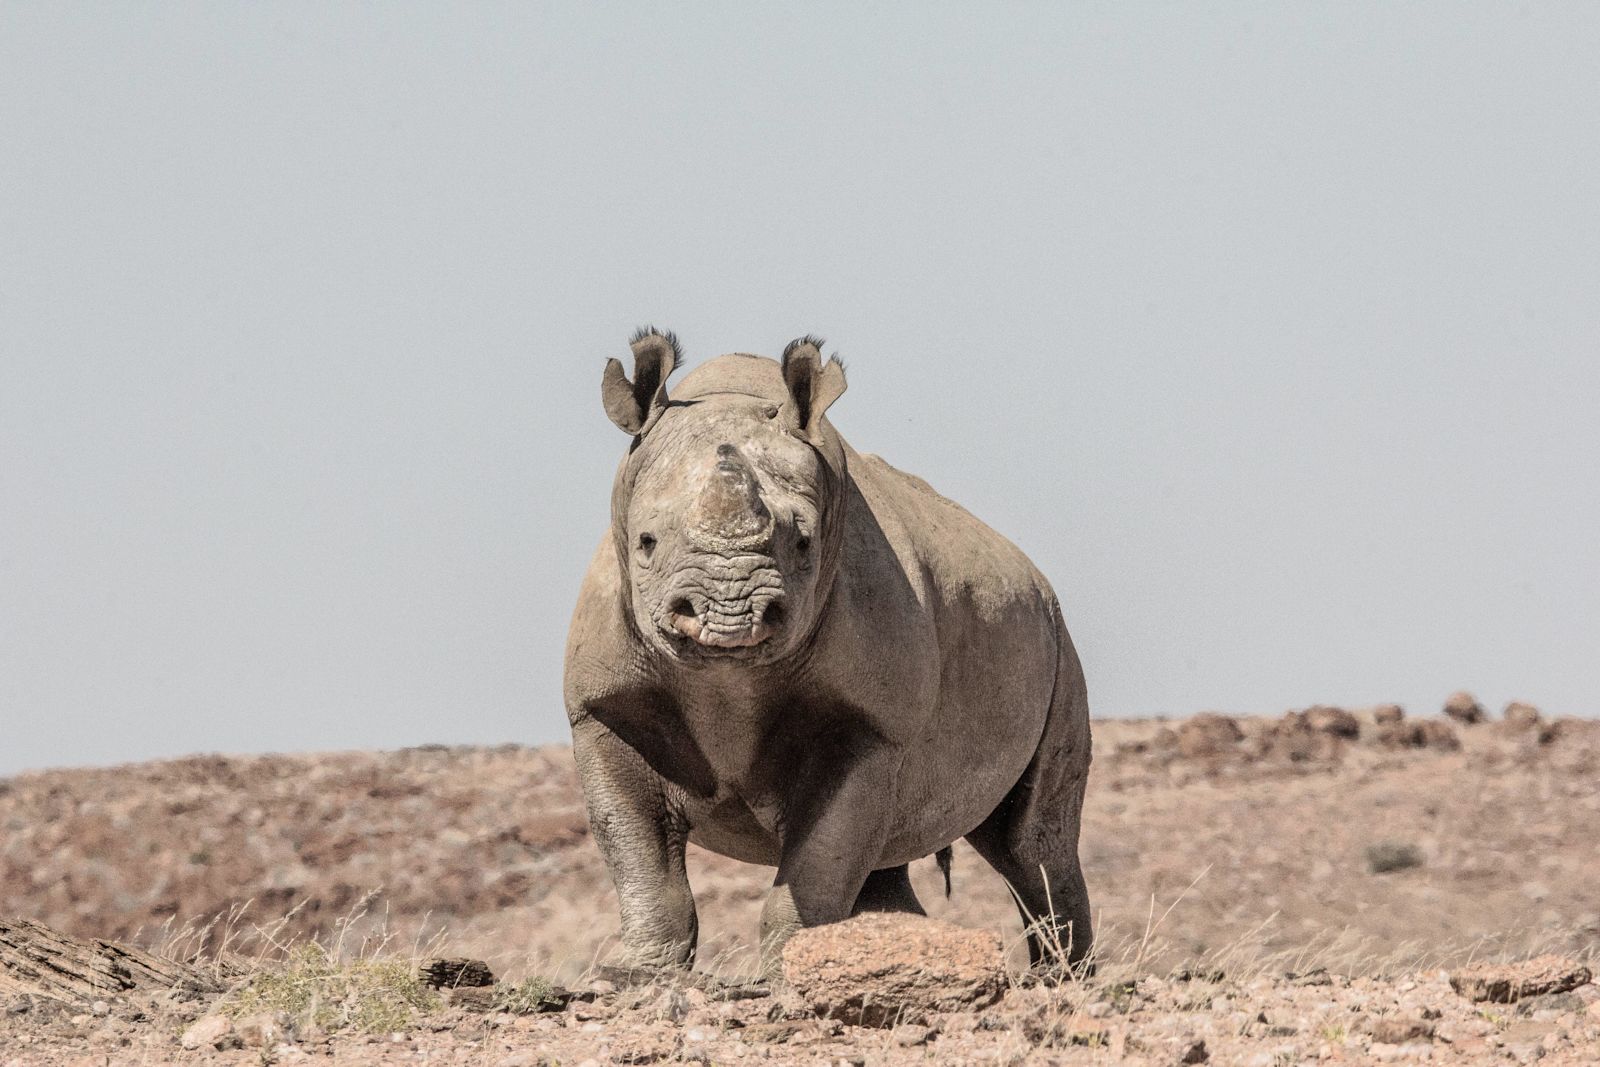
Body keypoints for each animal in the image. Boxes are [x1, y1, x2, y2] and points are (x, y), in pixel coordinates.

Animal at [556, 329, 1094, 972]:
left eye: (804, 542)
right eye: (646, 543)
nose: (728, 612)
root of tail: (1032, 573)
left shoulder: (872, 726)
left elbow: (818, 862)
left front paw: (787, 971)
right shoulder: (604, 708)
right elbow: (640, 855)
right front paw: (639, 974)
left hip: (1057, 639)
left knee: (1032, 842)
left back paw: (1062, 978)